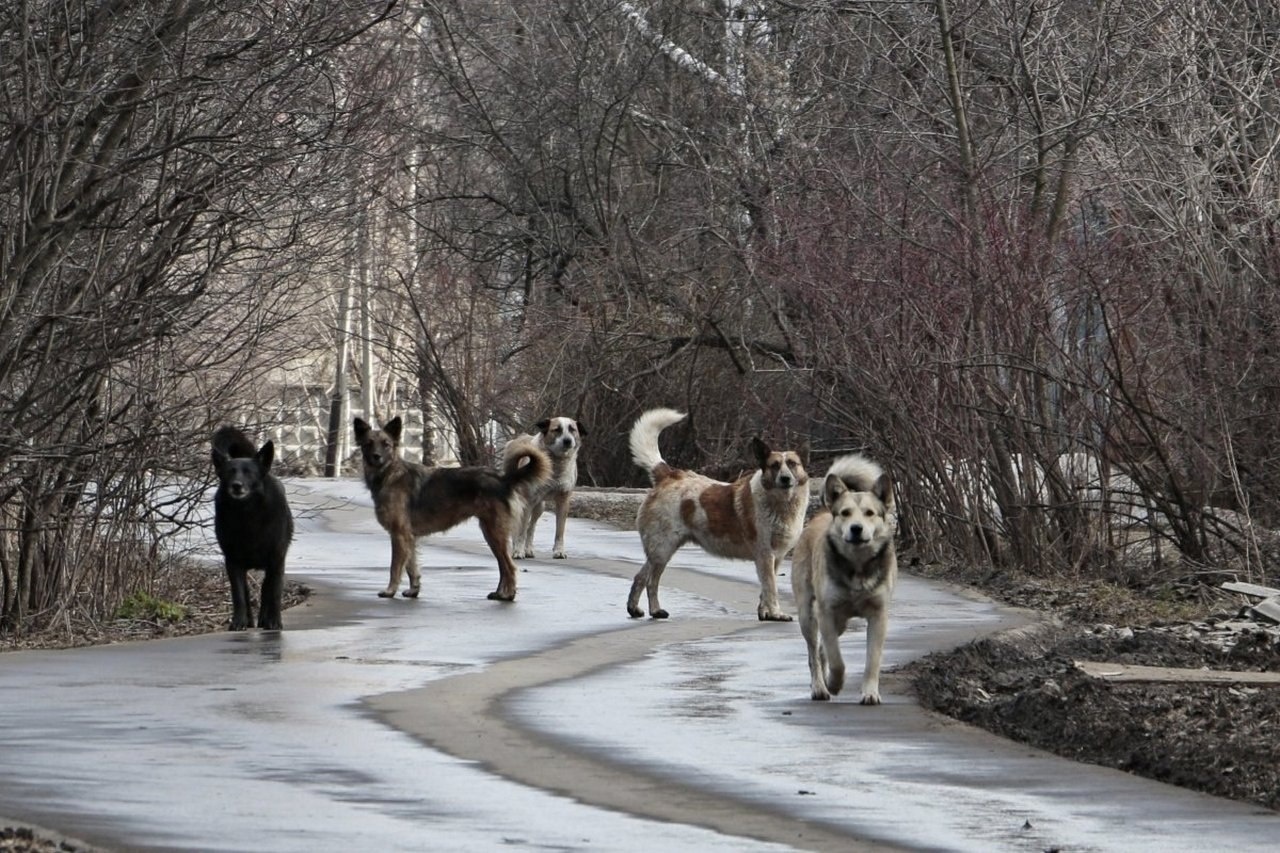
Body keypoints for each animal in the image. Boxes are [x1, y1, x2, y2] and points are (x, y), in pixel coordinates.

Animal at [211, 422, 293, 627]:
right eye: (229, 473)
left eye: (249, 473)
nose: (236, 485)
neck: (247, 515)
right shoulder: (233, 561)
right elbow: (239, 594)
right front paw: (239, 622)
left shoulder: (276, 560)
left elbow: (274, 593)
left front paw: (274, 621)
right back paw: (248, 620)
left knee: (266, 590)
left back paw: (265, 619)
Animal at [353, 414, 547, 601]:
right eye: (368, 444)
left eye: (386, 444)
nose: (376, 456)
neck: (389, 474)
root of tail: (504, 479)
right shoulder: (408, 537)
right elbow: (411, 567)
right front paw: (414, 590)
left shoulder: (399, 535)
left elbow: (395, 567)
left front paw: (390, 591)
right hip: (490, 532)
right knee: (502, 567)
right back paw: (500, 593)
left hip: (494, 533)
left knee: (509, 567)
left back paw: (508, 595)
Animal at [501, 412, 586, 558]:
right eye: (556, 429)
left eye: (572, 429)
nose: (567, 441)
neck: (556, 463)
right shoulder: (528, 501)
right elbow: (521, 531)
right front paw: (518, 551)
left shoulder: (563, 500)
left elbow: (559, 531)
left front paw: (559, 551)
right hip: (520, 502)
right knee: (519, 527)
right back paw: (516, 547)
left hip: (540, 506)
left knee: (531, 527)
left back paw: (529, 549)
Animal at [622, 404, 808, 617]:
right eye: (774, 466)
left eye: (792, 464)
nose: (785, 479)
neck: (781, 504)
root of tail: (669, 474)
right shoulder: (765, 554)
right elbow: (771, 588)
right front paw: (776, 614)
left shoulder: (775, 558)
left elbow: (765, 589)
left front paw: (765, 613)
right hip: (663, 549)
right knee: (651, 581)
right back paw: (655, 610)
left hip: (660, 551)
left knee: (641, 577)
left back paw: (636, 609)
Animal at [788, 450, 901, 701]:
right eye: (845, 513)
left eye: (870, 513)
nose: (856, 528)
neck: (857, 567)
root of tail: (821, 513)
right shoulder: (827, 613)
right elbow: (836, 659)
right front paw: (834, 683)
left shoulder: (878, 615)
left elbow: (872, 659)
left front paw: (870, 693)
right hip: (808, 614)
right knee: (814, 651)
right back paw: (820, 686)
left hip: (839, 622)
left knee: (820, 649)